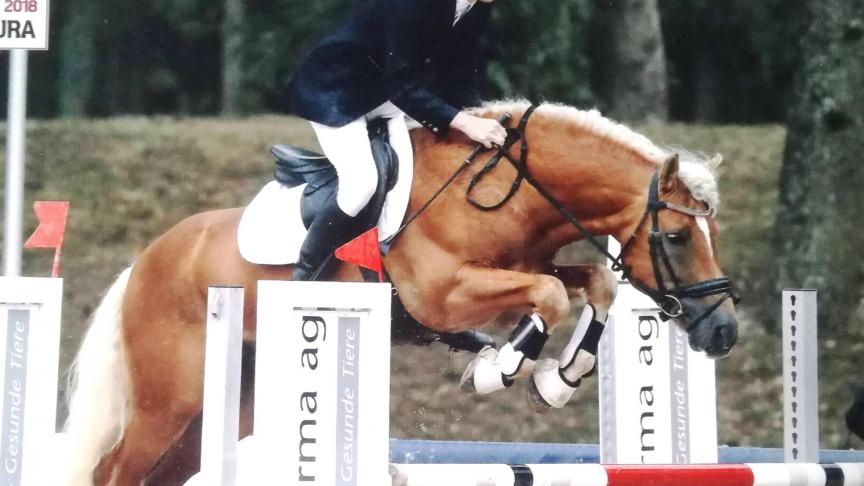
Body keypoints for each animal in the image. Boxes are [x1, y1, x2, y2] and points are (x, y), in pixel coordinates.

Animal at [62, 100, 736, 484]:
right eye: (677, 236)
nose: (724, 332)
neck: (508, 192)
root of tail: (145, 262)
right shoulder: (444, 294)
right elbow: (548, 295)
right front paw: (498, 369)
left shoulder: (524, 265)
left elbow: (589, 283)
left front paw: (559, 378)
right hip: (168, 402)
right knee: (113, 471)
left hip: (224, 407)